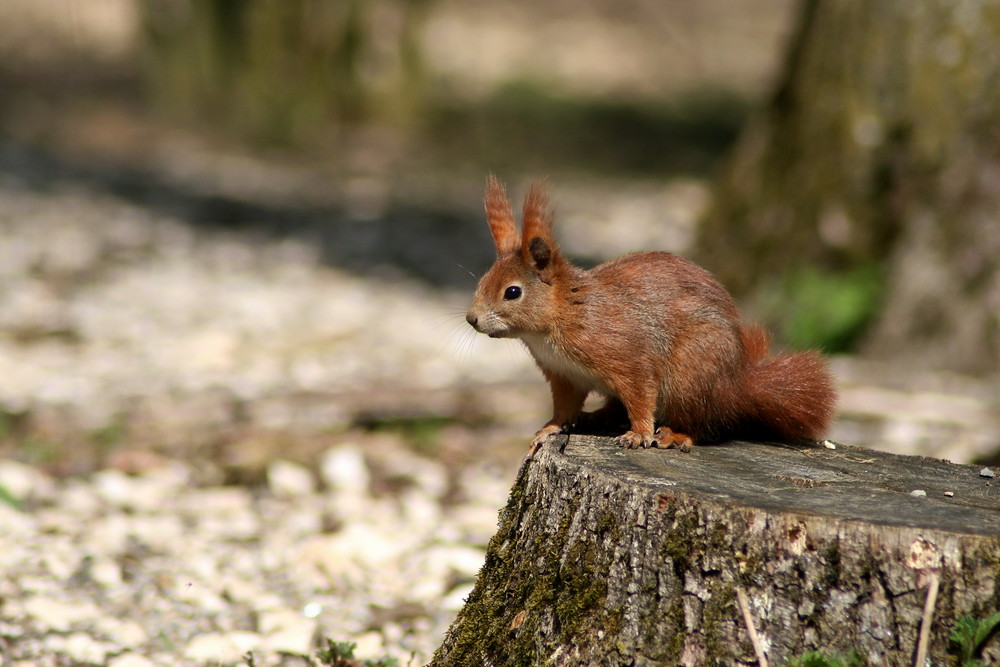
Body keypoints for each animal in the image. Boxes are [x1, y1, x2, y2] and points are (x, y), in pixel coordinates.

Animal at [466, 176, 836, 460]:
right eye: (482, 282)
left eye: (512, 292)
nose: (471, 319)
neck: (560, 317)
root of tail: (737, 385)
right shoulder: (564, 376)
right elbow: (564, 408)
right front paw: (549, 429)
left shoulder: (626, 356)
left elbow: (641, 394)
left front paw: (639, 433)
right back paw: (600, 417)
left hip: (693, 374)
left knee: (707, 425)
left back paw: (675, 435)